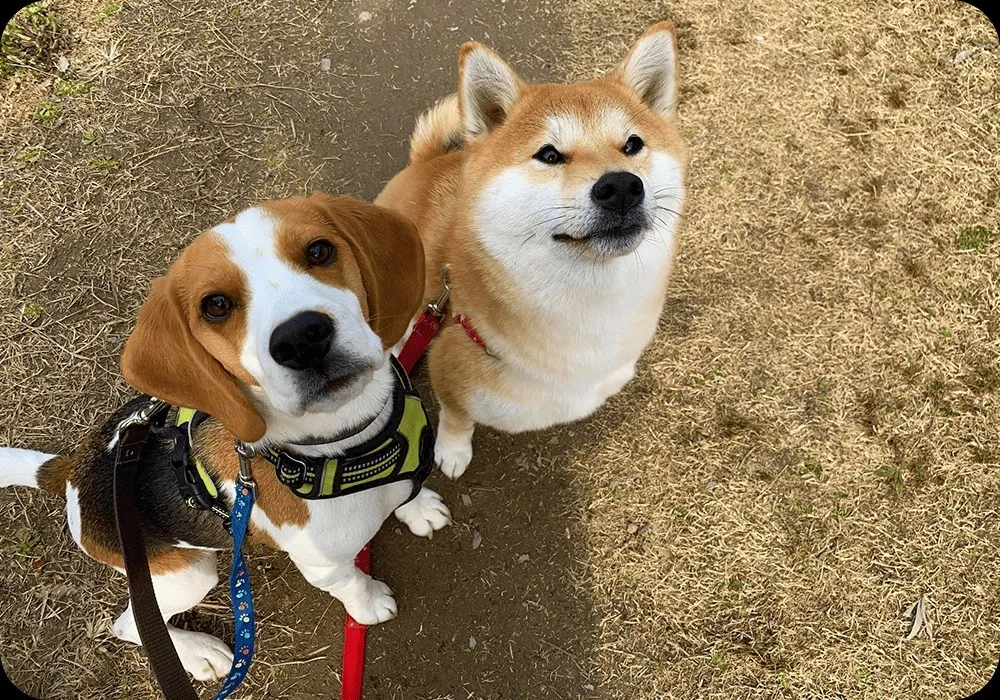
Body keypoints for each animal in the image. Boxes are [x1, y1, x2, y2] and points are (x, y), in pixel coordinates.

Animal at [0, 193, 451, 681]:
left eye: (319, 251)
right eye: (215, 305)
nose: (301, 337)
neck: (354, 444)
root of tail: (72, 473)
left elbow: (410, 495)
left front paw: (419, 509)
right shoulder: (323, 567)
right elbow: (351, 583)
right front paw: (369, 605)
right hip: (186, 574)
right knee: (129, 624)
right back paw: (198, 652)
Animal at [376, 22, 689, 479]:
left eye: (632, 145)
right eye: (549, 154)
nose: (621, 187)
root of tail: (425, 165)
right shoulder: (448, 370)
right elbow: (456, 419)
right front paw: (452, 451)